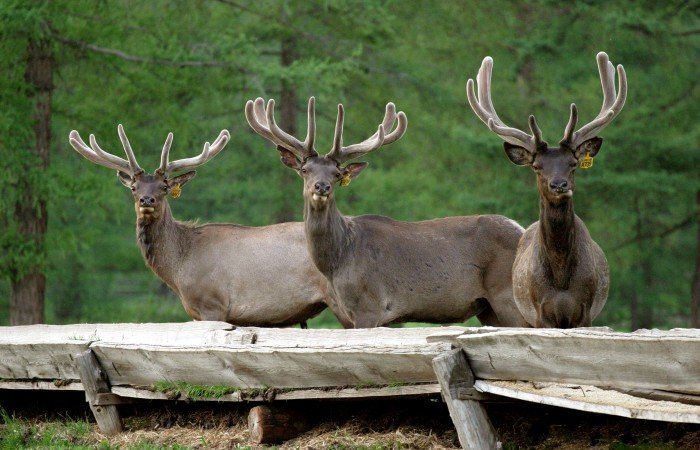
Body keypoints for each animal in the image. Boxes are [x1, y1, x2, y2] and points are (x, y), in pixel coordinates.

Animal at [246, 96, 532, 326]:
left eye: (337, 174)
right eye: (305, 170)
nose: (322, 186)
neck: (339, 261)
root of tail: (521, 229)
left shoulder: (370, 305)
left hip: (509, 297)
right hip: (487, 307)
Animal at [468, 51, 628, 326]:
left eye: (573, 164)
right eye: (537, 166)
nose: (559, 184)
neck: (562, 279)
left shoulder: (586, 311)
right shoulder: (540, 312)